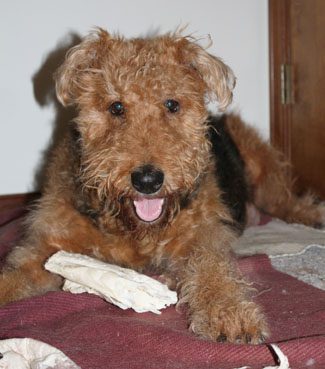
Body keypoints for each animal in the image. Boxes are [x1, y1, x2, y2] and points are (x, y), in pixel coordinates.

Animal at [1, 28, 322, 342]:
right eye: (116, 107)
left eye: (172, 104)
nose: (147, 180)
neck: (133, 229)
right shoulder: (47, 250)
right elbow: (16, 275)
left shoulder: (199, 237)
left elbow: (212, 269)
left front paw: (232, 316)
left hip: (260, 164)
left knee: (284, 200)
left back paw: (313, 215)